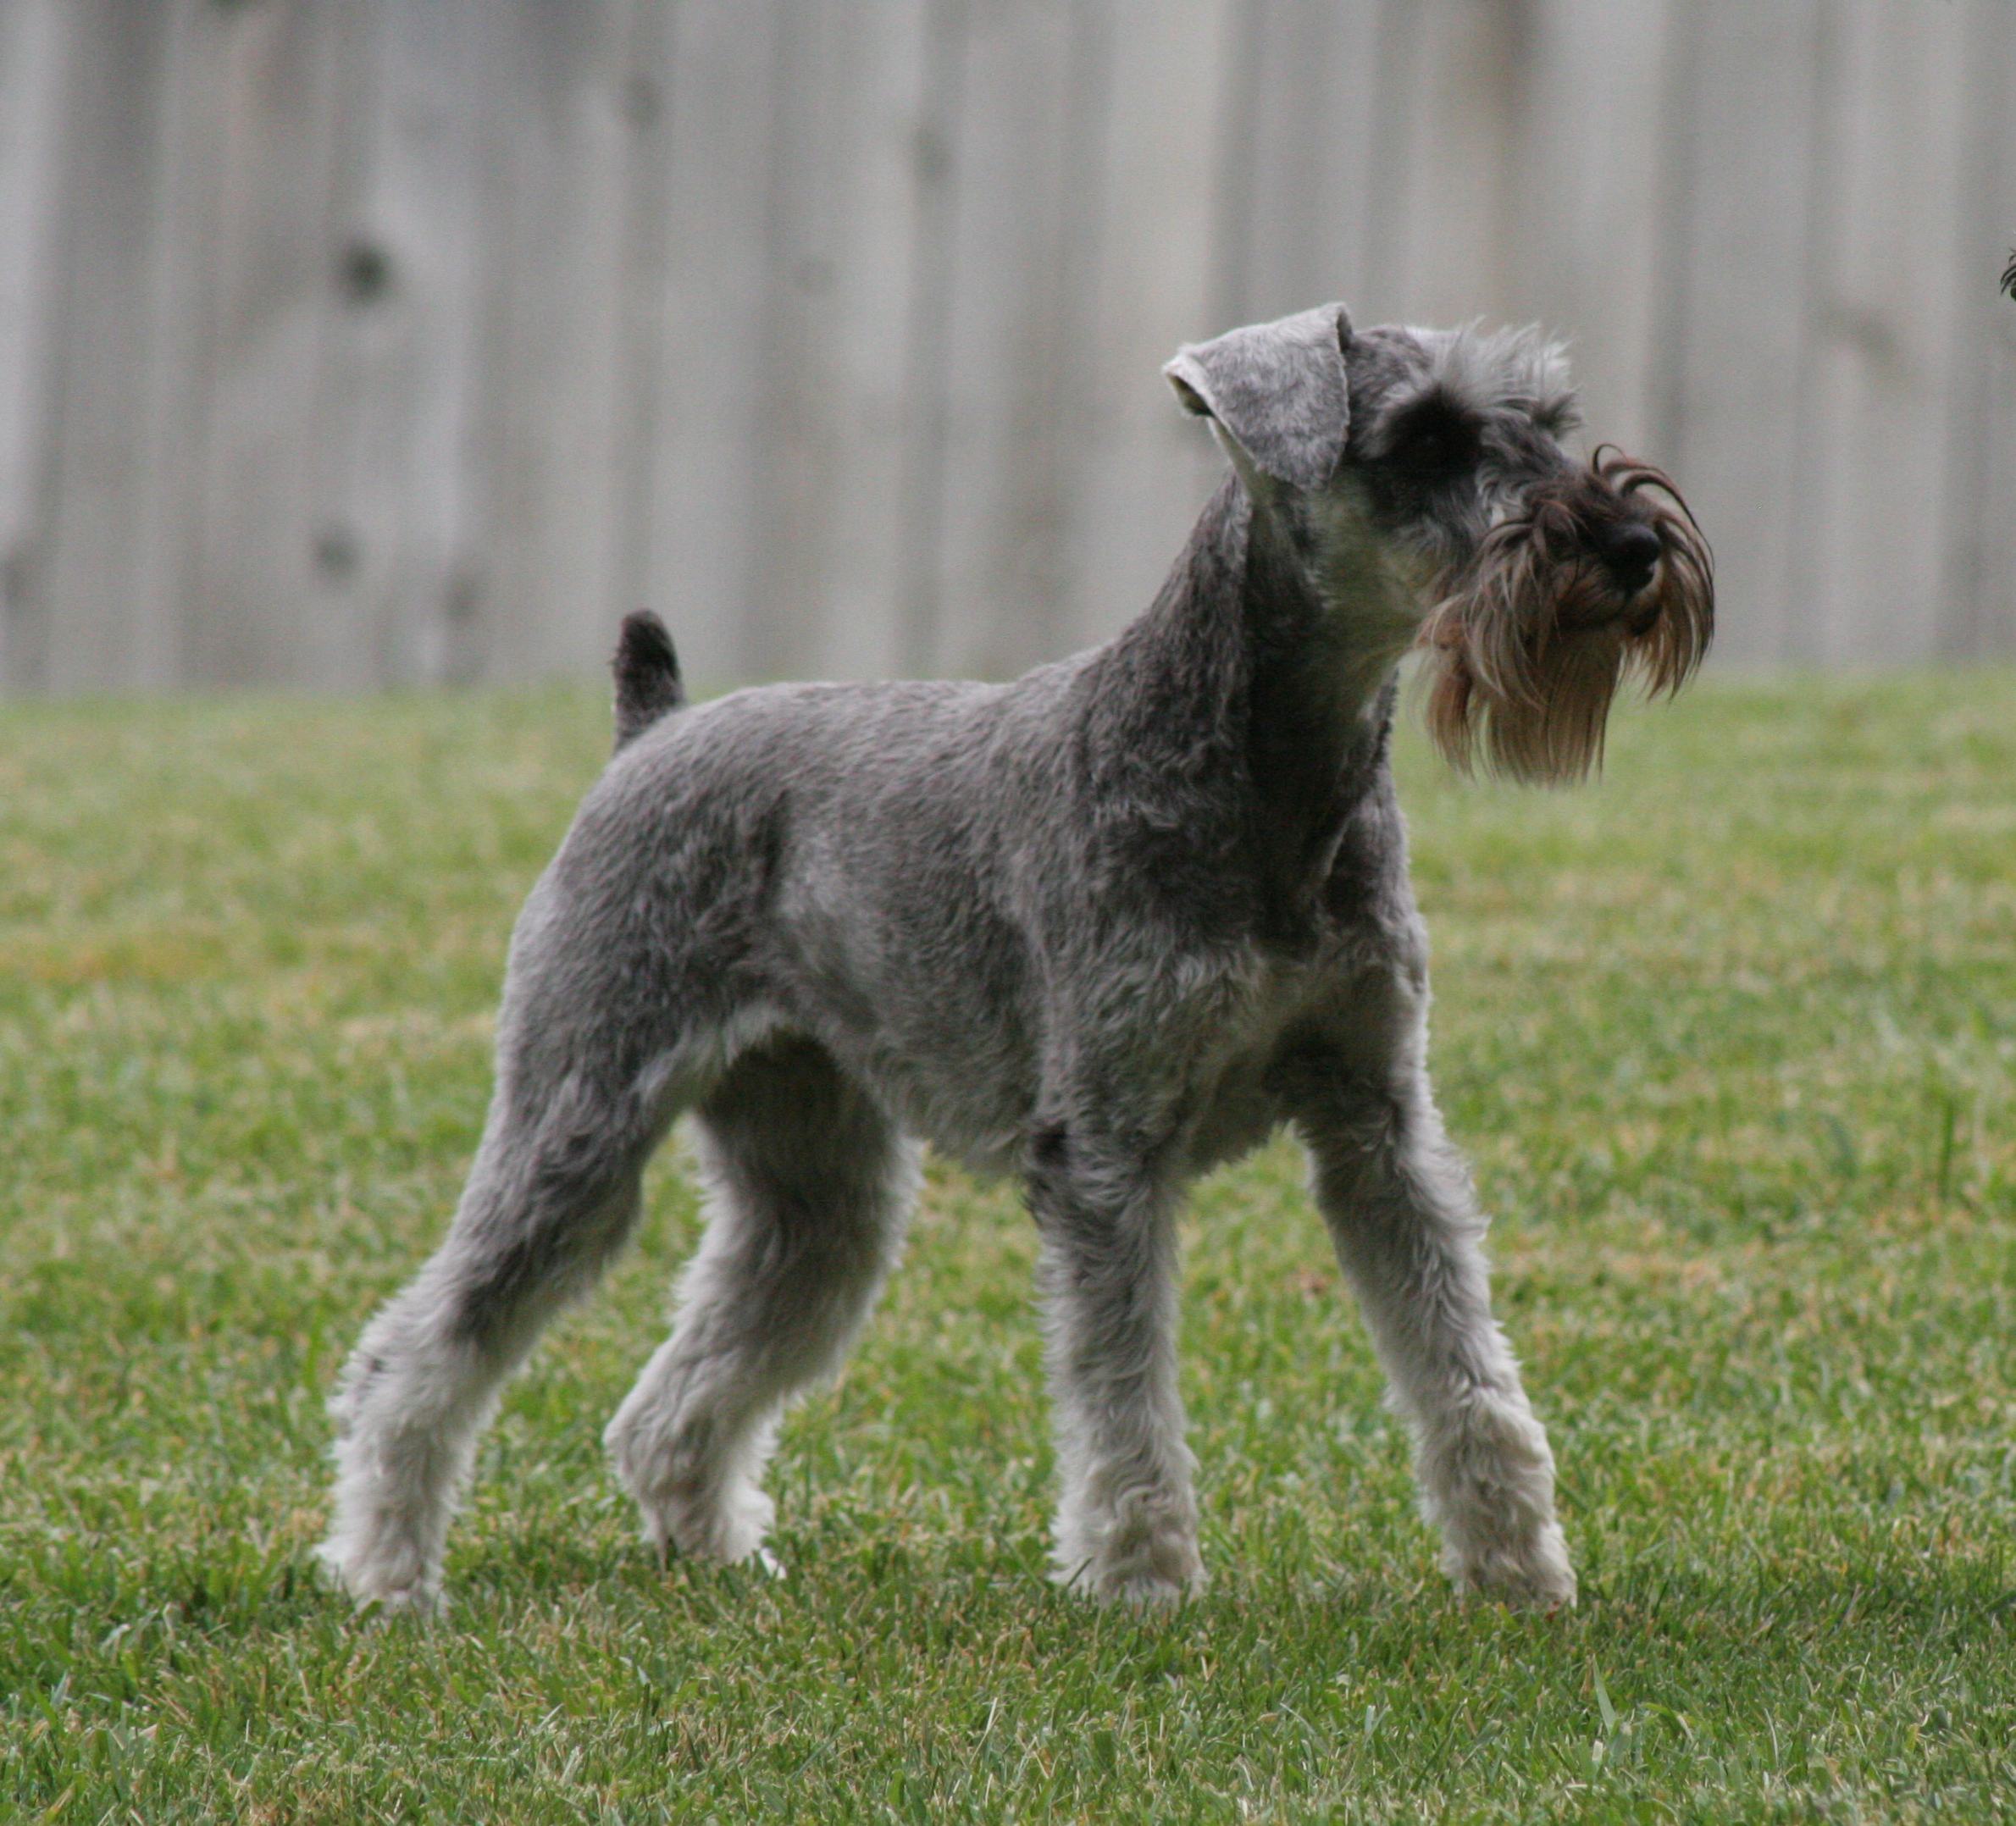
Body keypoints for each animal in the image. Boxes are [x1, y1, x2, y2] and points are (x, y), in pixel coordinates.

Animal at [322, 298, 1709, 1612]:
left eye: (1548, 417)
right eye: (1425, 437)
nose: (1632, 548)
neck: (1269, 774)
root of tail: (648, 732)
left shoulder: (1379, 1126)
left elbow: (1463, 1366)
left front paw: (1519, 1573)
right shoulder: (1106, 1146)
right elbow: (1123, 1395)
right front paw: (1142, 1583)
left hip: (821, 1196)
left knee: (671, 1397)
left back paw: (717, 1557)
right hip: (579, 1120)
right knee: (419, 1350)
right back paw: (388, 1574)